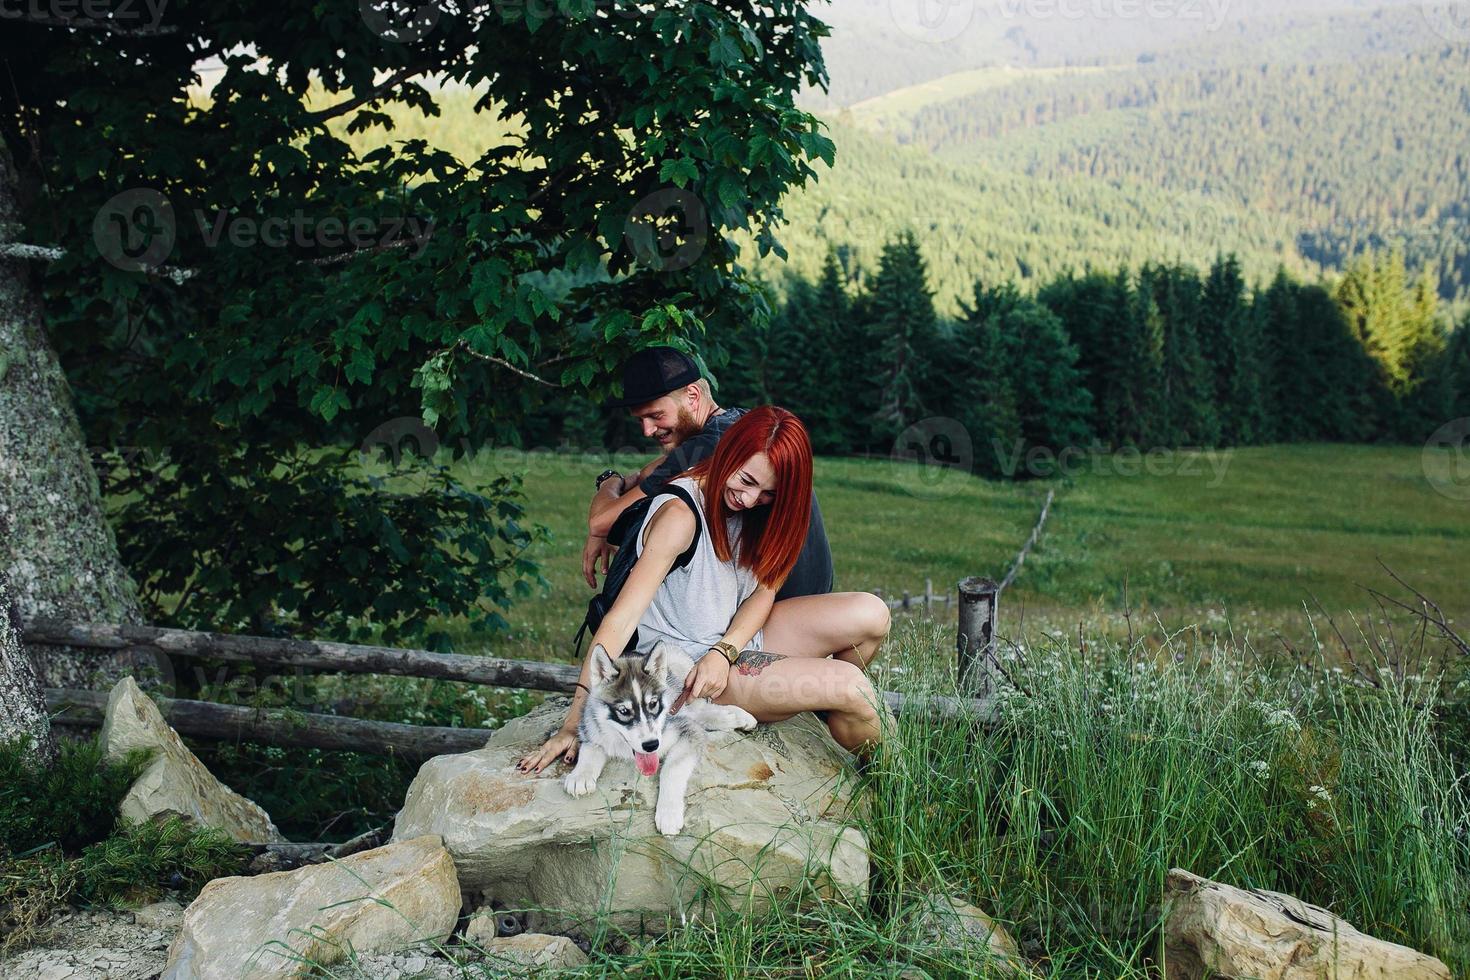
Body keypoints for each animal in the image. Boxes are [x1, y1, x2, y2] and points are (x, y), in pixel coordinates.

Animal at [564, 643, 758, 834]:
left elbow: (672, 769)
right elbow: (590, 748)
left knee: (697, 710)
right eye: (624, 711)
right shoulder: (591, 728)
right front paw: (580, 775)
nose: (651, 745)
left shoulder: (687, 730)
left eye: (653, 704)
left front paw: (668, 813)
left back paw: (735, 716)